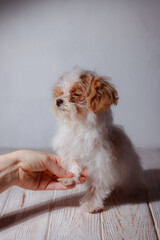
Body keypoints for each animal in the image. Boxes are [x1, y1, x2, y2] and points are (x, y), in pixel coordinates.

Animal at [51, 66, 141, 213]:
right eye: (61, 92)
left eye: (76, 94)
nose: (58, 101)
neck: (79, 126)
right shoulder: (68, 148)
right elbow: (71, 161)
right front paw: (70, 177)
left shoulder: (102, 163)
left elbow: (97, 186)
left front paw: (91, 203)